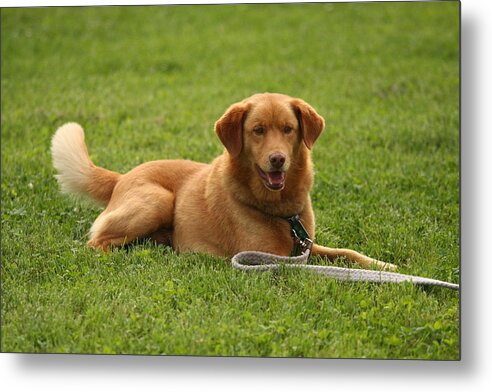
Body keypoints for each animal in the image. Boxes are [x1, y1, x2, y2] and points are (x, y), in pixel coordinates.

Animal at [51, 92, 396, 272]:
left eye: (288, 129)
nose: (277, 159)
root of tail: (123, 177)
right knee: (95, 243)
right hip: (158, 201)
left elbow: (347, 254)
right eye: (258, 130)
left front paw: (385, 267)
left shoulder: (305, 246)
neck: (280, 210)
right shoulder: (272, 257)